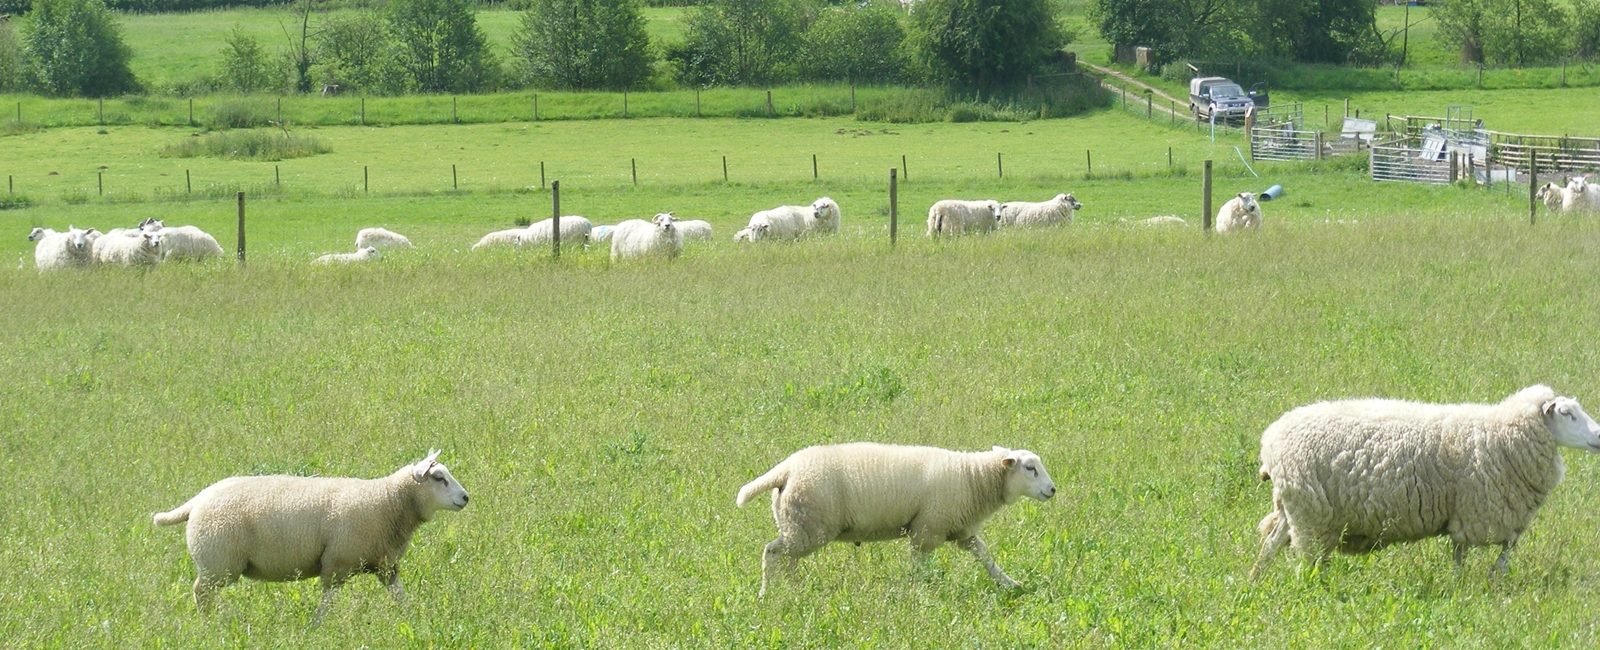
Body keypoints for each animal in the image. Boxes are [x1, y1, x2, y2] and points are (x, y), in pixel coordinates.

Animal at [153, 450, 468, 622]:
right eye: (439, 478)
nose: (466, 497)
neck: (386, 501)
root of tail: (197, 501)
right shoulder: (337, 562)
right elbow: (327, 603)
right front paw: (317, 627)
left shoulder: (385, 565)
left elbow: (400, 597)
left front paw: (415, 618)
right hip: (220, 561)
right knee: (201, 591)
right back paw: (221, 620)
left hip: (219, 563)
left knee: (203, 592)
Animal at [736, 442, 1056, 596]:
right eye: (1030, 468)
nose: (1053, 490)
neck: (973, 477)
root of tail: (786, 469)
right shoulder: (927, 528)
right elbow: (918, 566)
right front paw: (918, 593)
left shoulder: (959, 530)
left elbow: (984, 555)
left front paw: (1010, 583)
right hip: (809, 526)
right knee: (772, 552)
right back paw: (766, 594)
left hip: (799, 524)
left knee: (787, 559)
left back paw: (794, 590)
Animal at [1250, 385, 1600, 581]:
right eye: (1567, 413)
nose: (1598, 437)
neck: (1502, 434)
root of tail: (1270, 442)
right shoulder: (1479, 511)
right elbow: (1494, 549)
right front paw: (1476, 583)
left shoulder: (1472, 513)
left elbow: (1487, 549)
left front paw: (1470, 582)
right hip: (1312, 514)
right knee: (1306, 561)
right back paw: (1314, 591)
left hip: (1295, 509)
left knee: (1270, 545)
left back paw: (1254, 583)